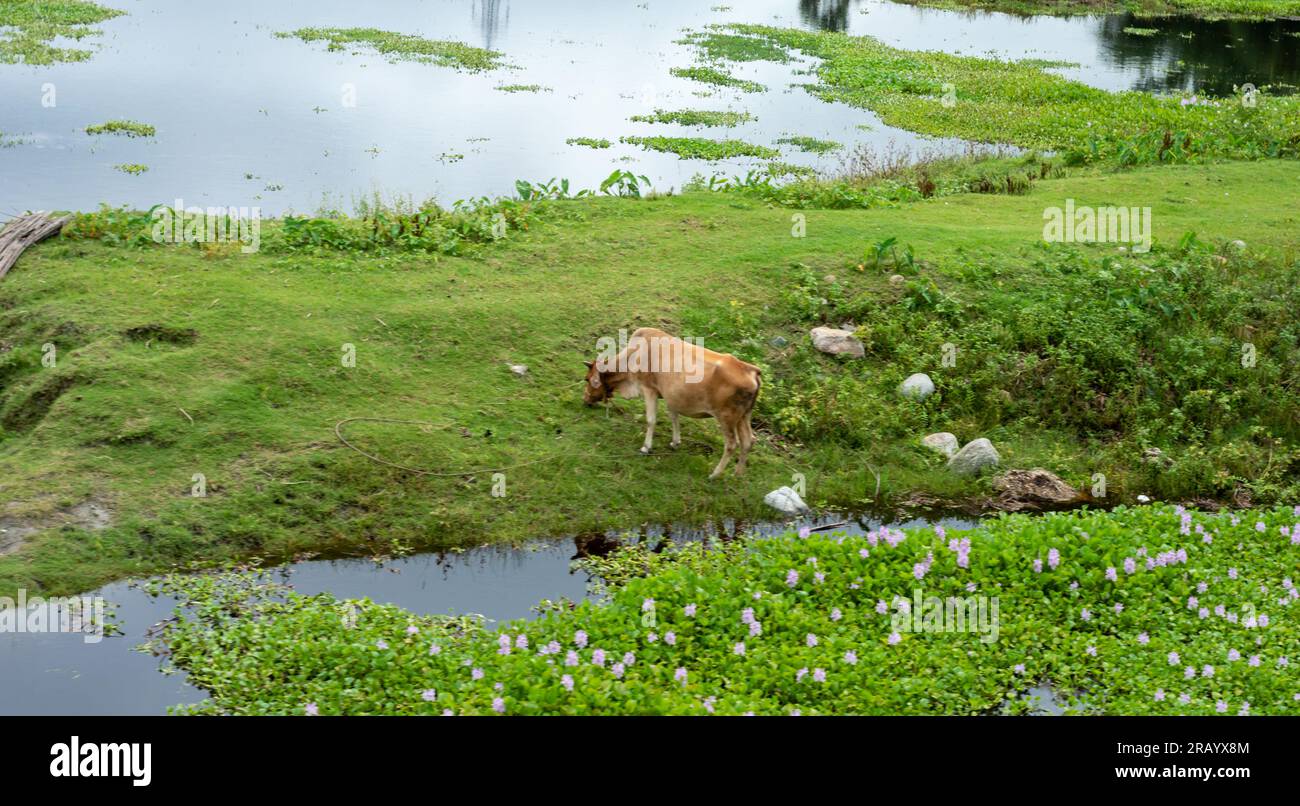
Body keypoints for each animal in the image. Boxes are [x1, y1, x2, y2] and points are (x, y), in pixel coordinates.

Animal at [583, 327, 761, 478]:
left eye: (587, 378)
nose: (585, 400)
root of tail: (752, 370)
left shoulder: (649, 389)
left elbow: (651, 420)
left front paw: (646, 447)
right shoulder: (672, 397)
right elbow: (674, 417)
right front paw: (675, 442)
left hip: (726, 417)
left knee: (732, 444)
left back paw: (715, 474)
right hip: (744, 416)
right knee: (748, 441)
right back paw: (738, 474)